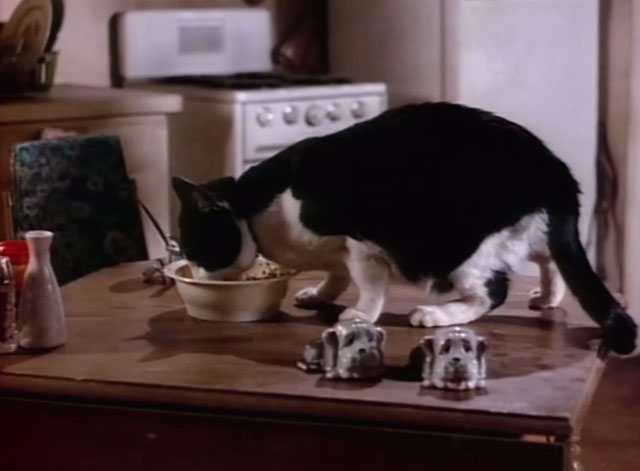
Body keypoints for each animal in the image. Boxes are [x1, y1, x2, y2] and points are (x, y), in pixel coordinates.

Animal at [172, 101, 636, 356]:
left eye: (196, 249)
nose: (197, 273)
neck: (258, 210)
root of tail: (556, 173)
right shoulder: (336, 250)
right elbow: (336, 275)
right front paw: (318, 295)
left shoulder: (358, 239)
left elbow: (369, 283)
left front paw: (359, 315)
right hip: (525, 230)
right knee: (550, 257)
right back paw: (547, 296)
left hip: (463, 249)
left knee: (494, 290)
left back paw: (436, 314)